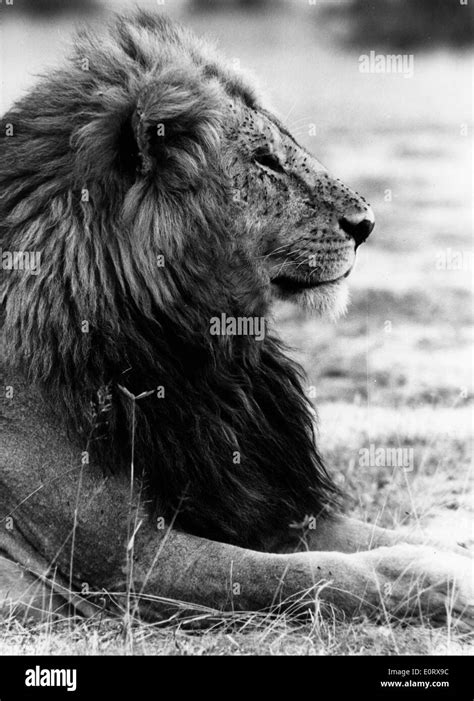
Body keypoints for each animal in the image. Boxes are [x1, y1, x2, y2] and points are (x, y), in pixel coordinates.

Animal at [0, 10, 472, 628]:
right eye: (265, 161)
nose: (367, 224)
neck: (210, 355)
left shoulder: (256, 500)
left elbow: (375, 538)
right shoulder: (126, 563)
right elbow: (314, 575)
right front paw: (444, 583)